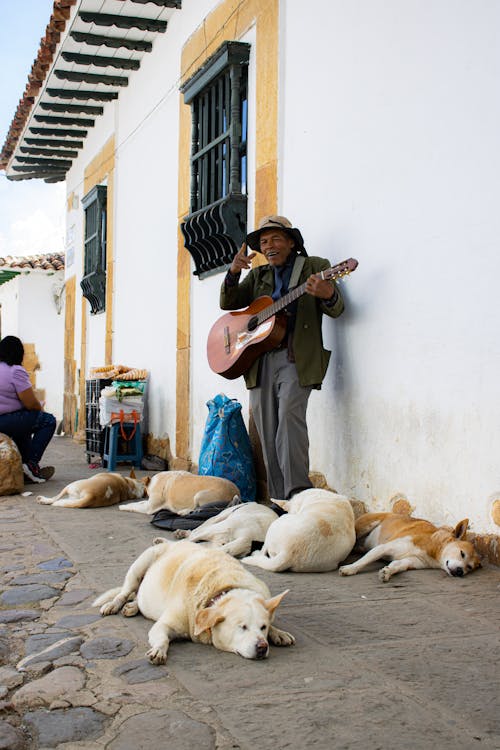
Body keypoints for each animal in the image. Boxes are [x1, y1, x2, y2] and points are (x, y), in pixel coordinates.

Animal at [93, 540, 292, 664]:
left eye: (263, 627)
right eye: (242, 627)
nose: (262, 647)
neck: (222, 588)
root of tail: (170, 543)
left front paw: (277, 632)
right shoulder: (164, 625)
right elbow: (162, 639)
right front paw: (159, 650)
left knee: (137, 597)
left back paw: (133, 606)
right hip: (140, 565)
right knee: (125, 591)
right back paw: (114, 604)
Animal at [338, 516, 482, 584]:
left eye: (469, 567)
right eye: (462, 553)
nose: (460, 571)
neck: (432, 548)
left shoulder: (408, 562)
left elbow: (396, 566)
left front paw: (387, 572)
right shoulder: (383, 548)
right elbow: (364, 561)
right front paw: (350, 568)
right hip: (362, 527)